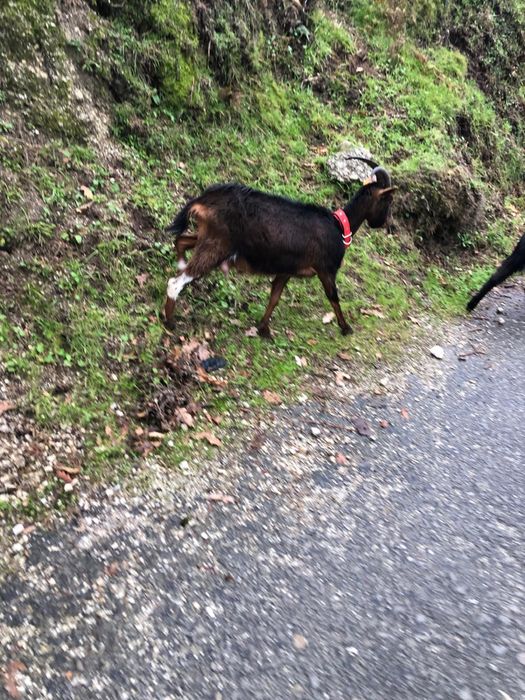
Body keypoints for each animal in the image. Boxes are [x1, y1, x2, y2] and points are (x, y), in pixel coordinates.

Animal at [163, 158, 395, 337]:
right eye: (388, 200)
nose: (384, 224)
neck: (339, 225)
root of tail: (204, 200)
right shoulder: (325, 269)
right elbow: (333, 297)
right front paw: (346, 328)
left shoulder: (286, 270)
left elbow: (275, 296)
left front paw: (263, 329)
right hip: (216, 246)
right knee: (175, 282)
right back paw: (170, 322)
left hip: (209, 239)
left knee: (181, 241)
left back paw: (180, 263)